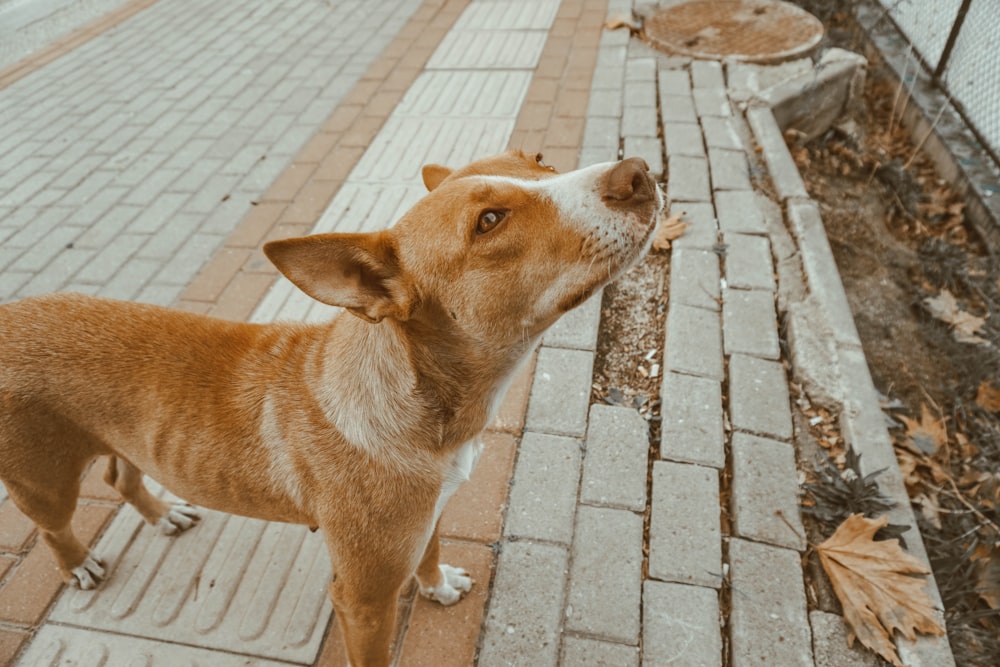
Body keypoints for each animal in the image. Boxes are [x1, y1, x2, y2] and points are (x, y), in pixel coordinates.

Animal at [0, 149, 660, 664]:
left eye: (540, 160)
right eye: (489, 221)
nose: (637, 172)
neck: (424, 403)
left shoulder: (427, 515)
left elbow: (431, 550)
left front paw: (436, 584)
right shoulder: (362, 599)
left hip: (121, 434)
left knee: (119, 472)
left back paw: (161, 514)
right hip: (44, 480)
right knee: (54, 524)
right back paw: (78, 563)